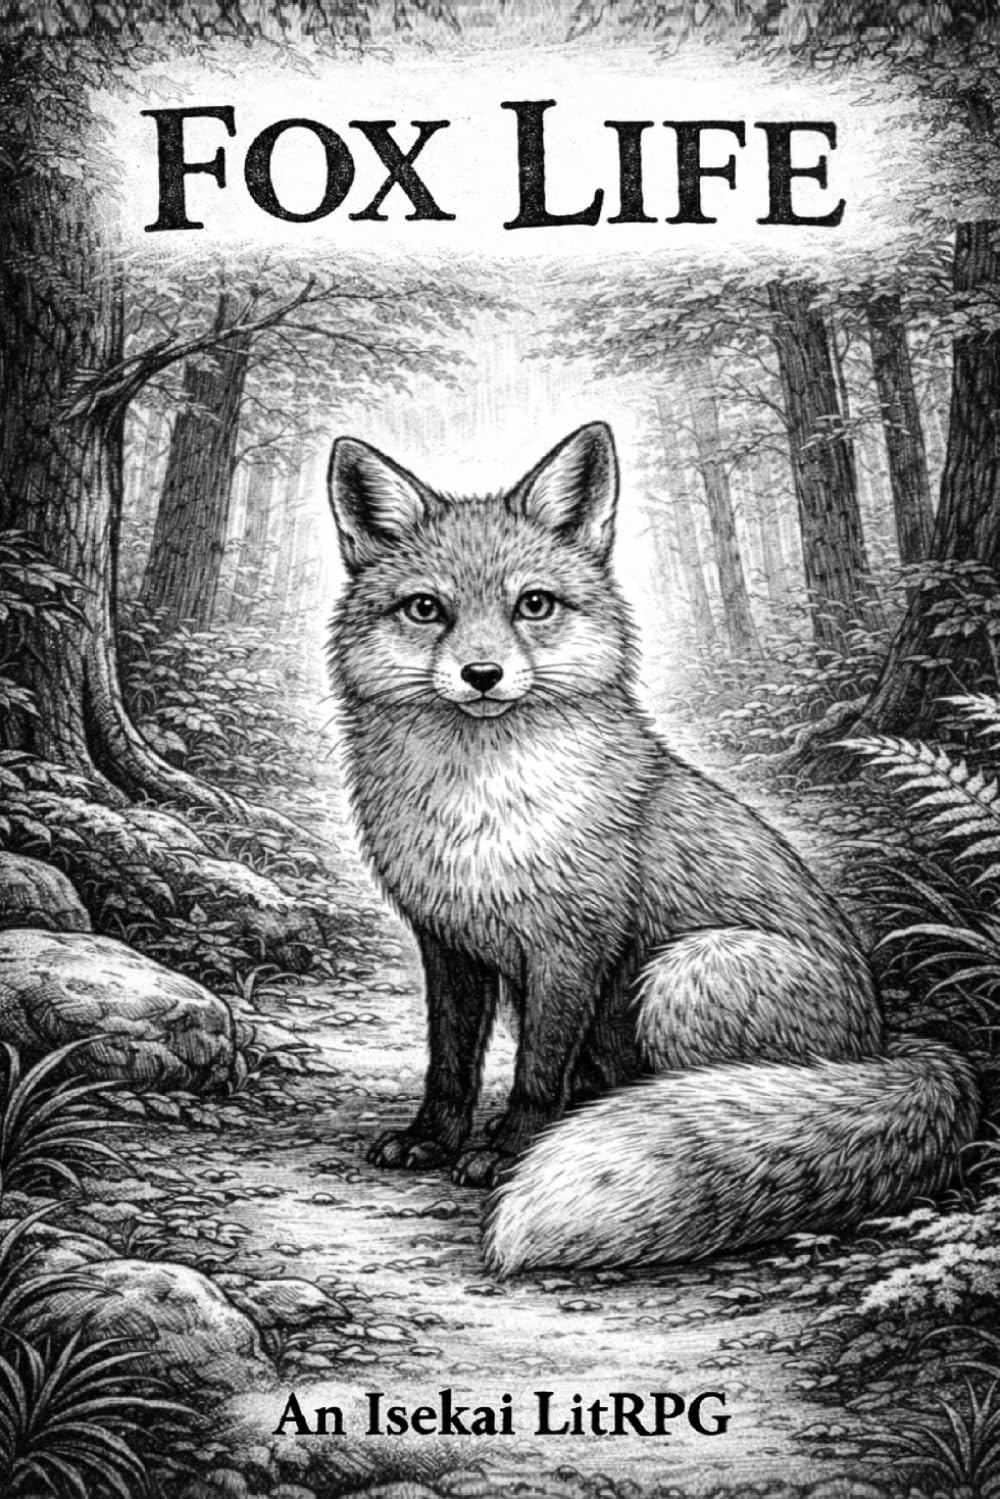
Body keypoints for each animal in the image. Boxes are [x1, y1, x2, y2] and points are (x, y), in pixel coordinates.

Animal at [327, 420, 979, 1275]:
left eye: (533, 604)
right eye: (426, 609)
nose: (482, 673)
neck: (480, 815)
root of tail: (883, 1043)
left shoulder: (572, 943)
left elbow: (536, 1069)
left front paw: (506, 1152)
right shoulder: (448, 941)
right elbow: (449, 1064)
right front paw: (432, 1140)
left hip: (684, 975)